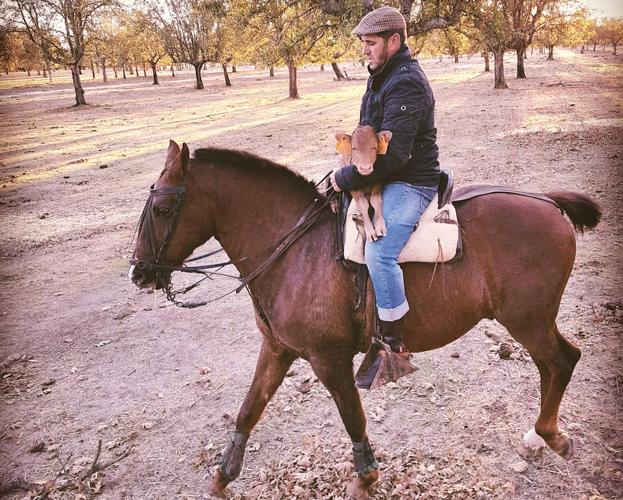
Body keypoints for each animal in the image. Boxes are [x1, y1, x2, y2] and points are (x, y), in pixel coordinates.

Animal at [129, 140, 604, 496]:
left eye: (162, 210)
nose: (138, 271)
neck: (296, 249)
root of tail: (547, 201)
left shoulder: (329, 360)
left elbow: (352, 417)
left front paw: (367, 476)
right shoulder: (277, 349)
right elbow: (249, 410)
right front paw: (222, 476)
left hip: (527, 320)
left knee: (563, 361)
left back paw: (549, 435)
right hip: (530, 321)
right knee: (551, 366)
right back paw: (538, 437)